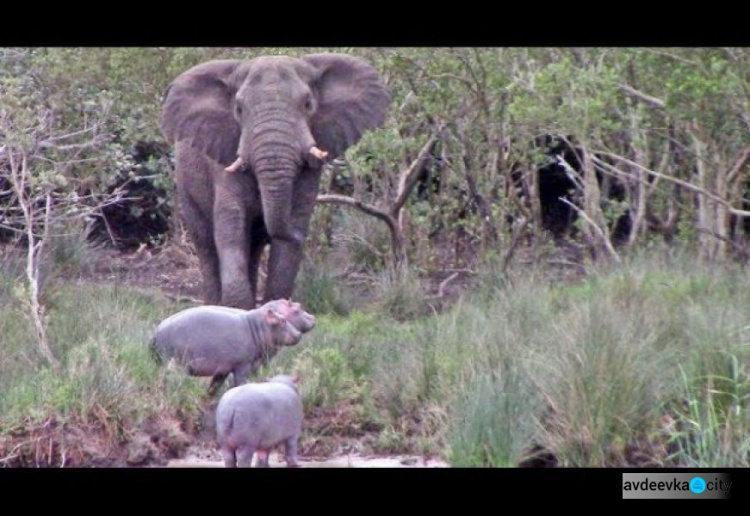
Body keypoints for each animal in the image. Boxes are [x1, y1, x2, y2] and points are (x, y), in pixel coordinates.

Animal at [148, 302, 312, 396]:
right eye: (283, 320)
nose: (298, 334)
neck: (258, 327)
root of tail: (155, 333)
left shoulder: (223, 369)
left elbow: (215, 385)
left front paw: (210, 397)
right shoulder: (242, 366)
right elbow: (240, 382)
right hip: (175, 364)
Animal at [161, 54, 390, 308]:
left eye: (308, 105)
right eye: (239, 109)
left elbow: (291, 226)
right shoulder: (224, 154)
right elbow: (230, 224)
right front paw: (237, 308)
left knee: (254, 246)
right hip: (185, 187)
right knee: (207, 244)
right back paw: (213, 304)